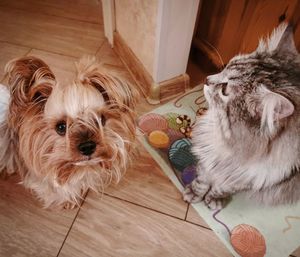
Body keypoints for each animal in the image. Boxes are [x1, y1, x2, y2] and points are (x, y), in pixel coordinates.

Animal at [184, 23, 298, 209]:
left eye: (225, 90)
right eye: (226, 66)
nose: (207, 79)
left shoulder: (243, 180)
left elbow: (221, 188)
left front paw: (214, 199)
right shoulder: (209, 158)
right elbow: (203, 179)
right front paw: (194, 193)